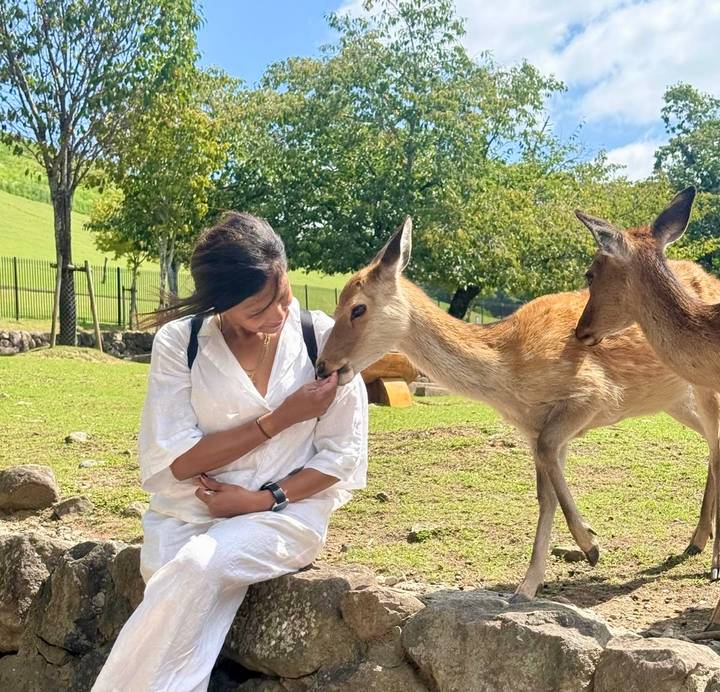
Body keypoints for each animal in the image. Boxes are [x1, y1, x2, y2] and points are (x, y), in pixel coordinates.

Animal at [315, 216, 720, 601]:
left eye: (357, 307)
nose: (323, 367)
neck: (507, 372)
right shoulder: (533, 427)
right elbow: (545, 495)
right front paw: (526, 587)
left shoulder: (591, 395)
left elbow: (550, 473)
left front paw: (591, 545)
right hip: (677, 401)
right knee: (710, 448)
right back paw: (696, 541)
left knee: (715, 448)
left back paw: (711, 562)